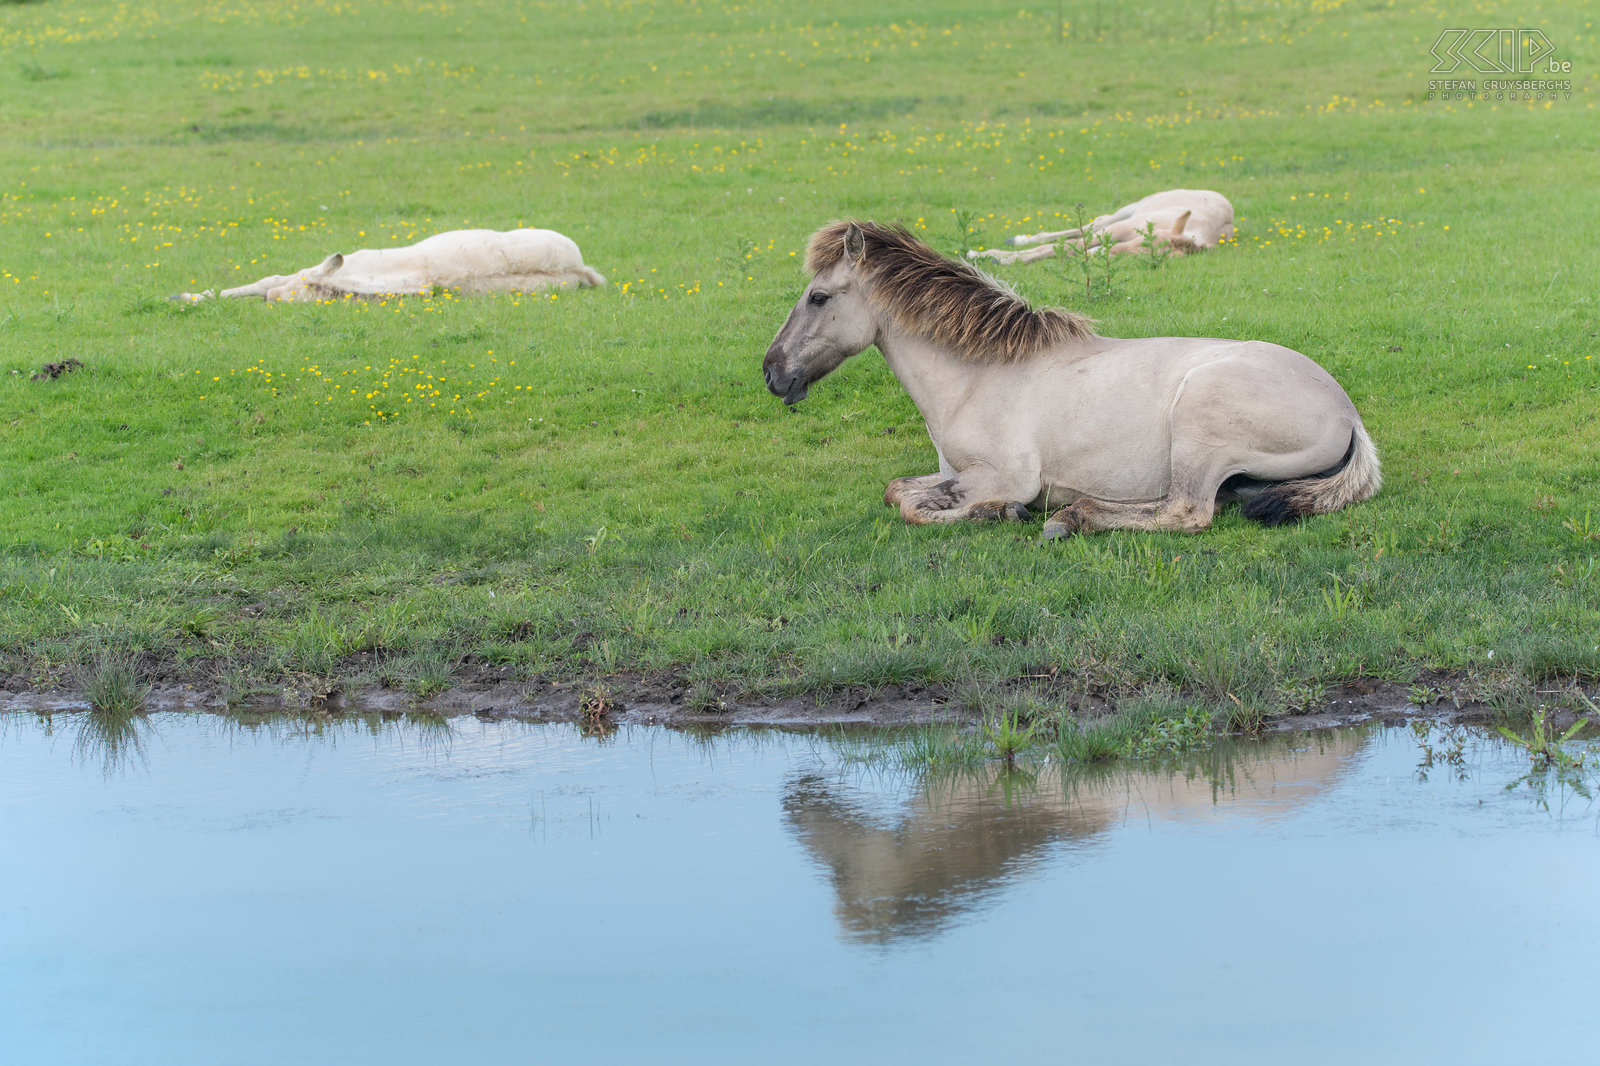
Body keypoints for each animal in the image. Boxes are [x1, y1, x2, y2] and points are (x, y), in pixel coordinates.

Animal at [761, 217, 1376, 534]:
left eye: (819, 297)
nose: (772, 373)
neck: (976, 378)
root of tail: (1347, 413)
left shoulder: (1005, 474)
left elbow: (926, 507)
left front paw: (994, 512)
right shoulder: (951, 470)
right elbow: (898, 491)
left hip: (1199, 426)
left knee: (1187, 512)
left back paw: (1071, 517)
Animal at [960, 186, 1235, 264]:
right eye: (1143, 240)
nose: (1099, 254)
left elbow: (1070, 248)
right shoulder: (1117, 231)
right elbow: (1064, 246)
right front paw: (988, 256)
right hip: (1126, 213)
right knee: (1096, 222)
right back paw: (1019, 240)